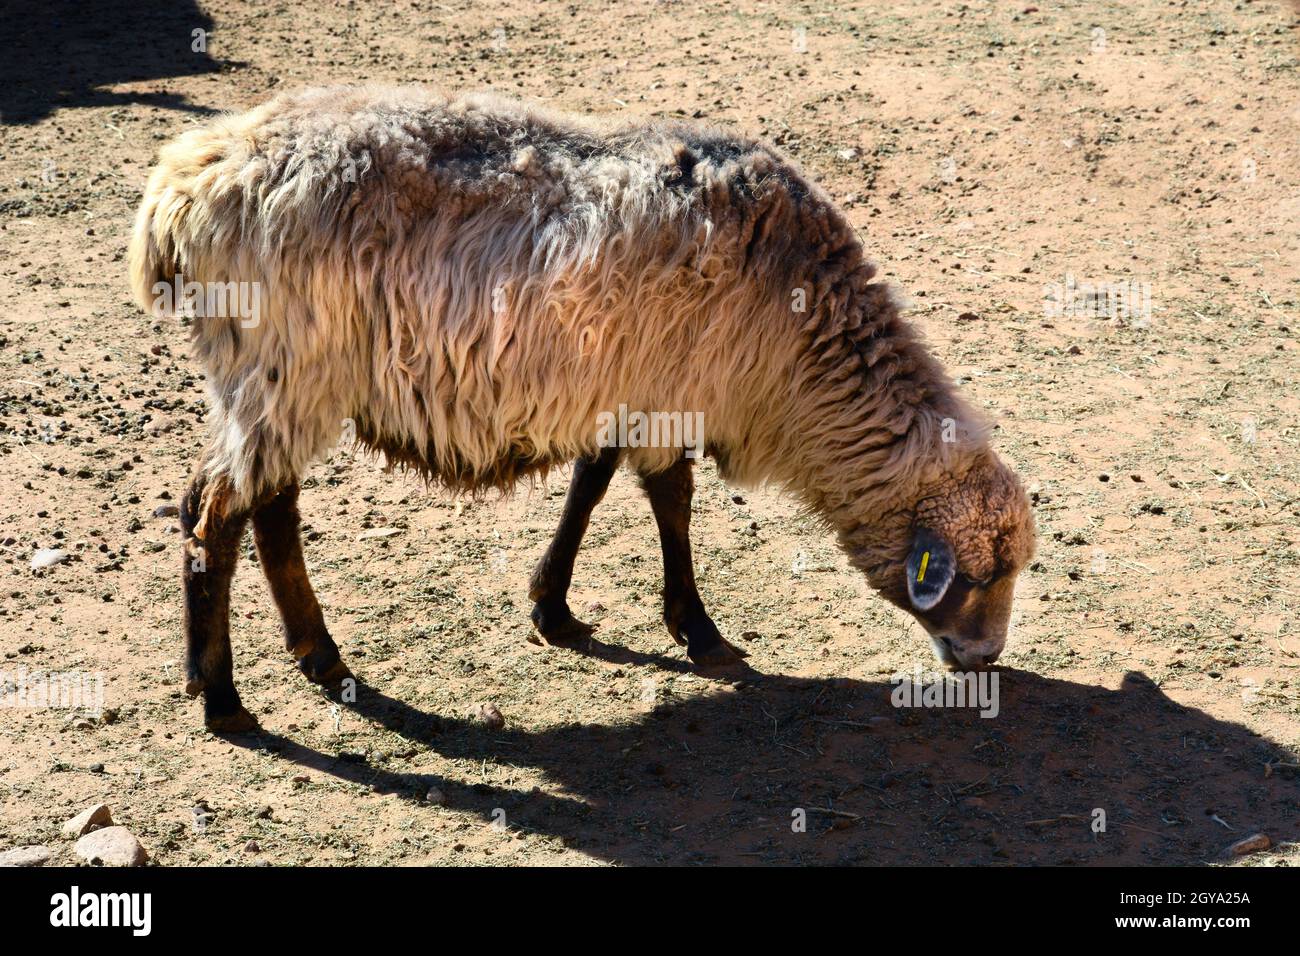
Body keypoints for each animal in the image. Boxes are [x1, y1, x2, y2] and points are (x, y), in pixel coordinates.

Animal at [129, 84, 1036, 732]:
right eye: (981, 577)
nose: (984, 661)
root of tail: (184, 182)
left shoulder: (625, 389)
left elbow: (591, 486)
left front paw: (553, 607)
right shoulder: (671, 394)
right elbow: (672, 503)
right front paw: (698, 629)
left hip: (282, 382)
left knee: (263, 506)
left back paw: (317, 658)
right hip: (285, 370)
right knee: (216, 511)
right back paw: (223, 697)